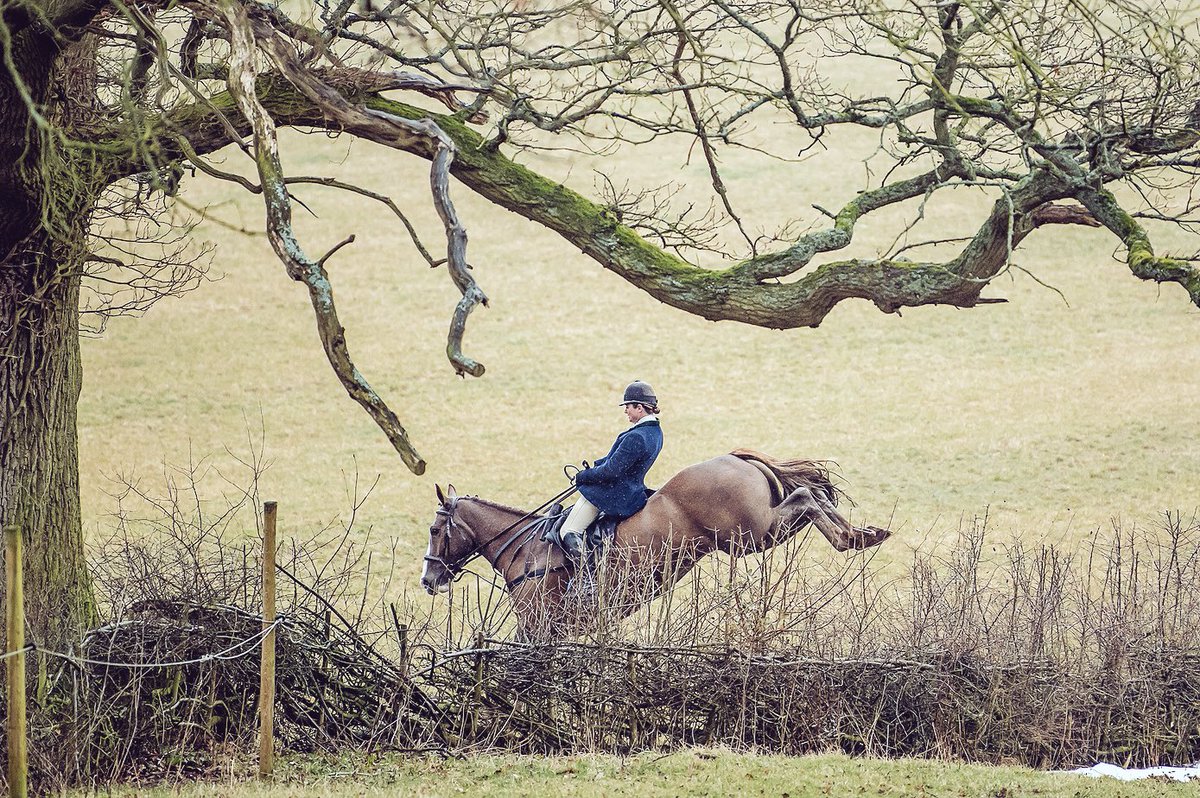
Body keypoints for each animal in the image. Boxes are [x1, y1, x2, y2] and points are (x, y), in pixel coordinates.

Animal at [420, 450, 891, 638]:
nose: (428, 579)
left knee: (807, 497)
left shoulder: (537, 623)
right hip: (757, 536)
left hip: (751, 536)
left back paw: (852, 537)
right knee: (812, 500)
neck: (525, 548)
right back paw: (863, 536)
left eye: (434, 531)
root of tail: (734, 457)